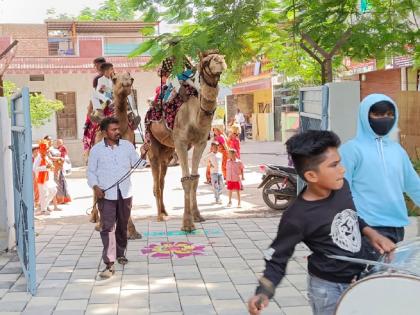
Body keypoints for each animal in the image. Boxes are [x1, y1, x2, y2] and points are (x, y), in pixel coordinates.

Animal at [148, 51, 226, 232]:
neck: (195, 115)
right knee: (156, 182)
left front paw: (197, 216)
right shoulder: (181, 143)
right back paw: (159, 216)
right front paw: (187, 224)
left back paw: (165, 211)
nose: (220, 61)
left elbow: (195, 178)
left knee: (162, 180)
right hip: (153, 145)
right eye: (206, 61)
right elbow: (185, 179)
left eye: (220, 55)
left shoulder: (200, 143)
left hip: (167, 150)